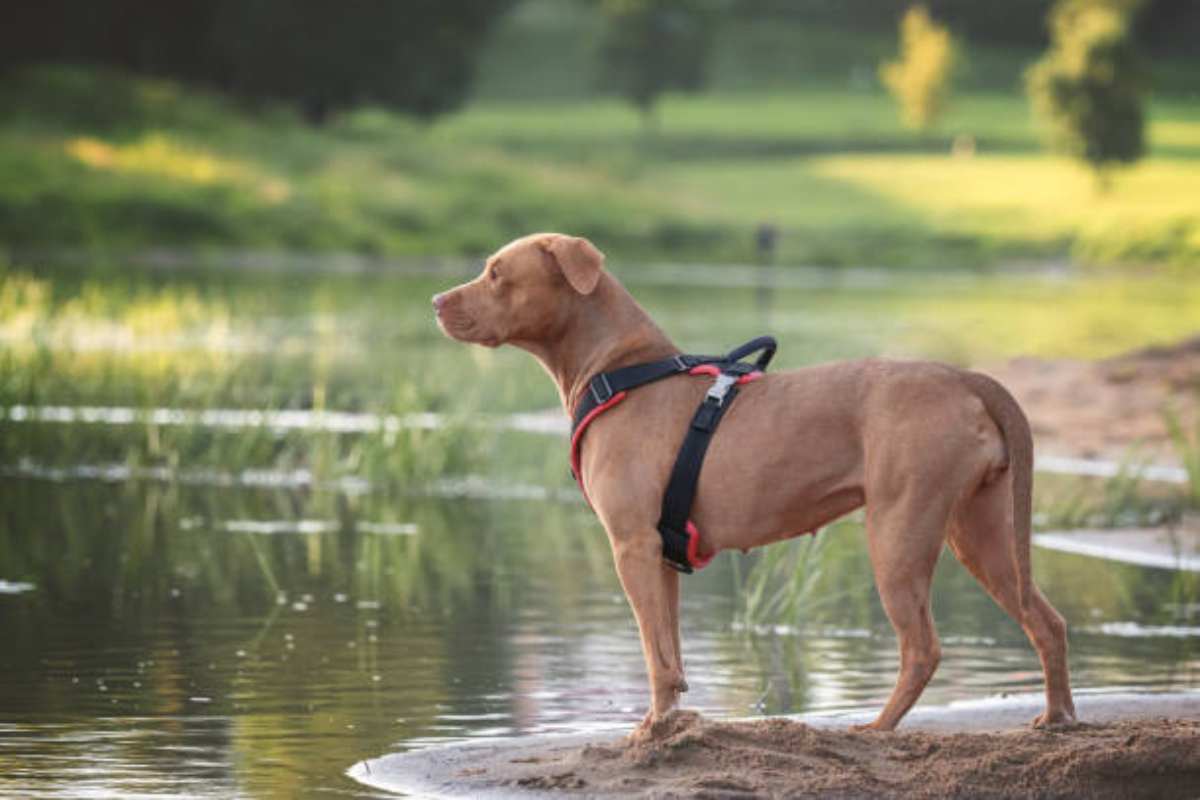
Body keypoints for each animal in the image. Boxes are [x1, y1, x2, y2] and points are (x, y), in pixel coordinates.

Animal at [432, 231, 1080, 738]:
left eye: (496, 273)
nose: (436, 300)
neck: (623, 367)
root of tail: (964, 378)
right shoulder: (660, 555)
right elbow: (669, 650)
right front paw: (670, 722)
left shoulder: (632, 546)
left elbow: (651, 651)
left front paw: (651, 730)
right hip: (981, 532)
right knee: (1045, 620)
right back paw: (1057, 718)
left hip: (899, 533)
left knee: (921, 646)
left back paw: (876, 728)